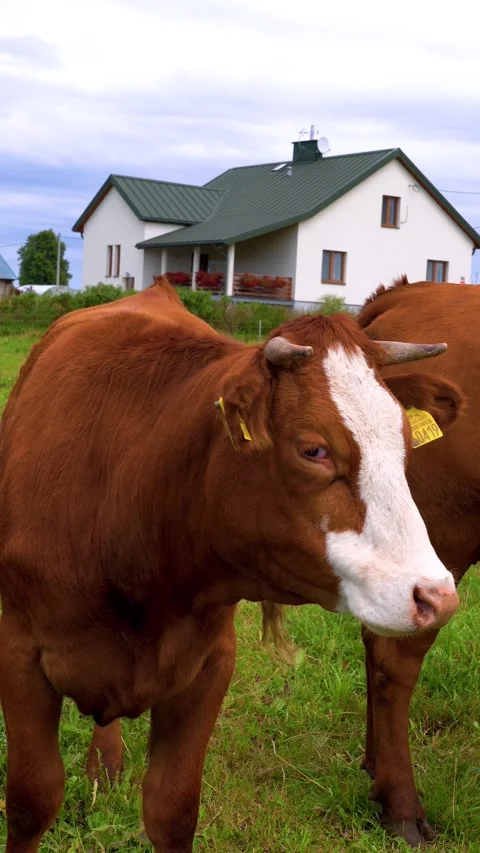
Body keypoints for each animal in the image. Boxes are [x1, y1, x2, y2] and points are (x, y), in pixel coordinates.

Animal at [0, 276, 461, 852]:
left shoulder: (211, 662)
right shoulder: (18, 655)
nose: (437, 595)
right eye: (314, 450)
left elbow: (173, 809)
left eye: (405, 443)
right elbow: (31, 801)